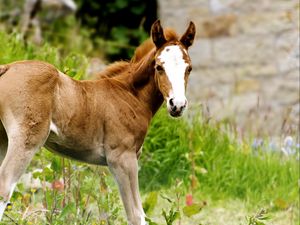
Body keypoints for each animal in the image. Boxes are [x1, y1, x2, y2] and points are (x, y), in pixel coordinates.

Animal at [0, 20, 196, 224]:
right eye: (159, 67)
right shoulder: (122, 158)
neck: (130, 95)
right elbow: (136, 215)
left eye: (189, 68)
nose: (177, 105)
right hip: (26, 140)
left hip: (3, 139)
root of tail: (7, 68)